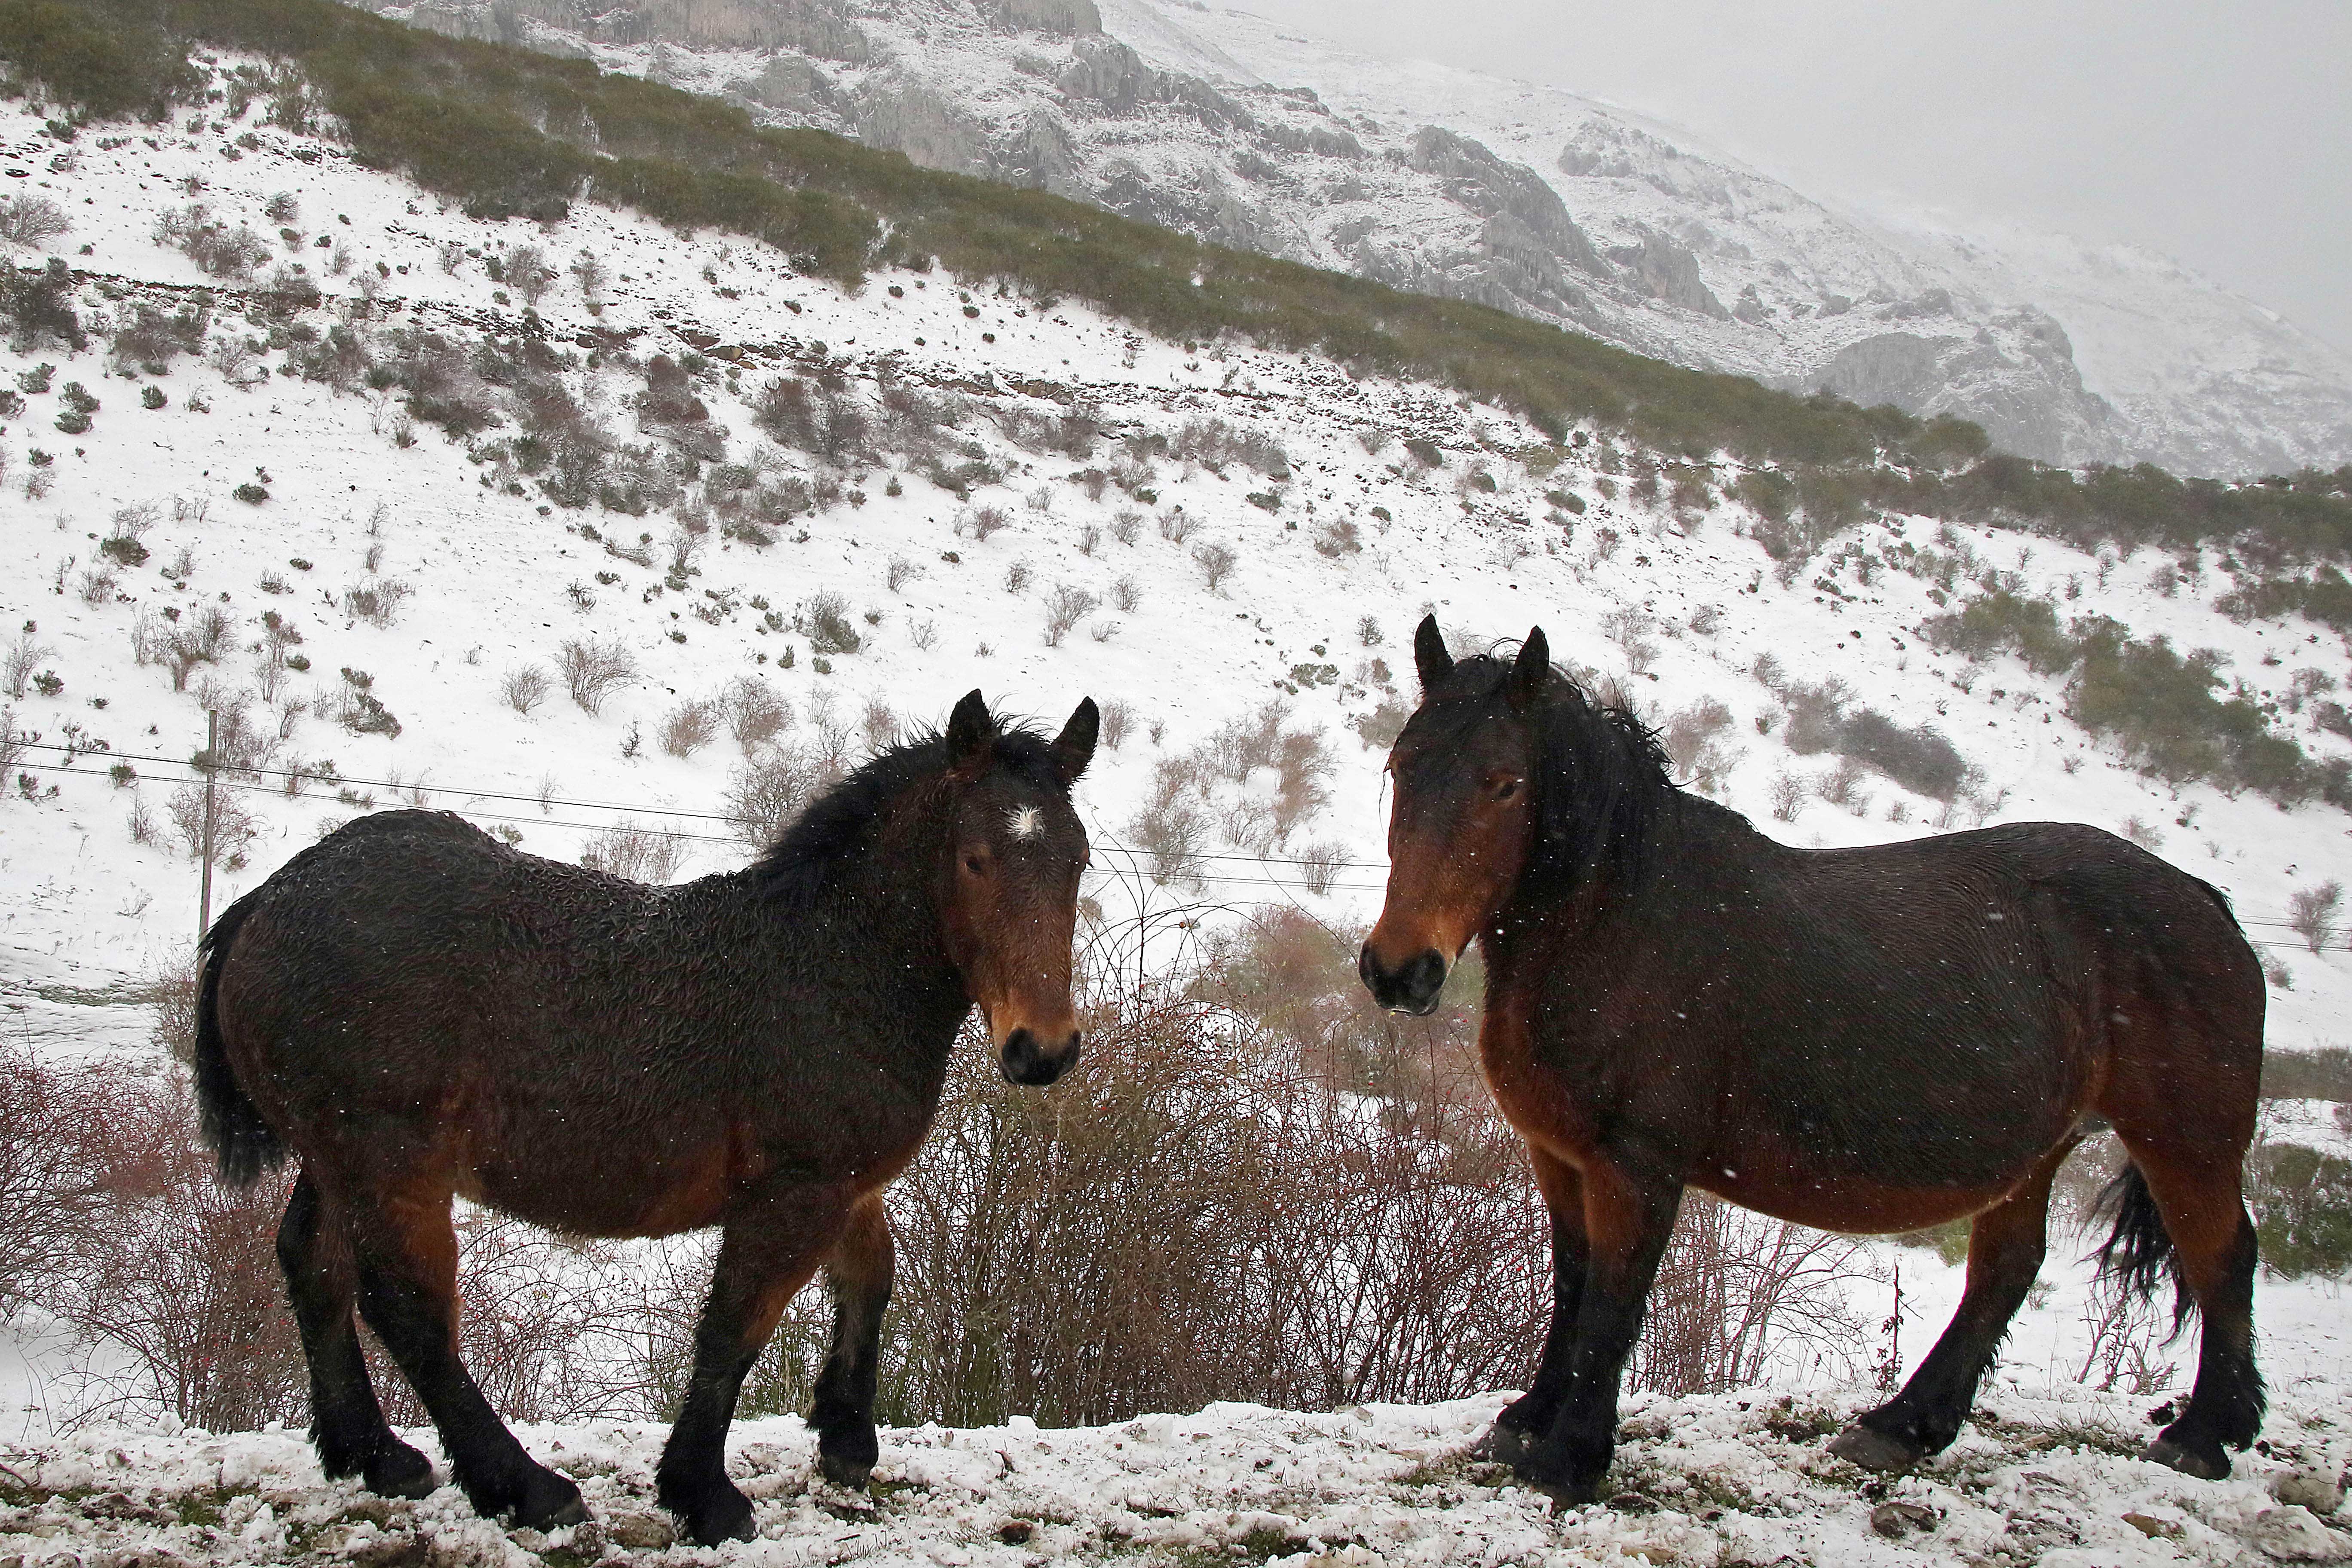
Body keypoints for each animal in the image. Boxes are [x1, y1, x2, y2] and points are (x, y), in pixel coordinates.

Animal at [190, 695, 1091, 1542]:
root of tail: (266, 900)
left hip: (334, 1156)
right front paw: (703, 1494)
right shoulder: (793, 1192)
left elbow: (871, 1278)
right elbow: (734, 1329)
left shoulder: (843, 1185)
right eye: (975, 859)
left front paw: (845, 1438)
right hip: (386, 1160)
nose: (1041, 1049)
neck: (832, 968)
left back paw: (373, 1454)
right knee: (409, 1310)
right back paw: (523, 1486)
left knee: (314, 1266)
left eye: (1077, 859)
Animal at [1364, 620, 2258, 1504]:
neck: (1621, 918)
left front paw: (1569, 1457)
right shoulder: (1560, 1155)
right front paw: (1526, 1421)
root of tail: (2203, 901)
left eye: (1504, 784)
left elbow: (1614, 1298)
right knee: (2007, 1269)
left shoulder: (1636, 1165)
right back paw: (1901, 1428)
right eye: (1401, 765)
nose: (1399, 970)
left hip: (2185, 1141)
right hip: (2038, 1150)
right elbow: (1573, 1282)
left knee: (2222, 1255)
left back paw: (2203, 1437)